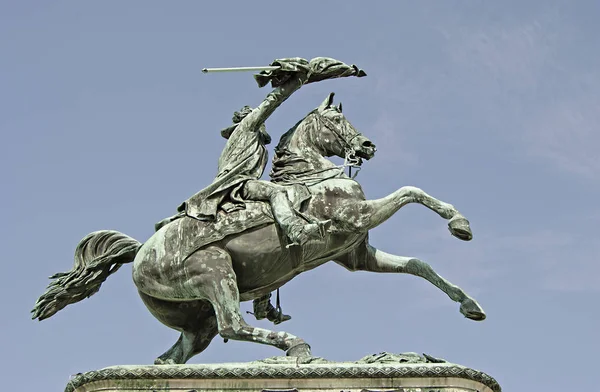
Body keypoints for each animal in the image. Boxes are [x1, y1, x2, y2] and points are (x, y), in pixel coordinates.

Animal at [30, 93, 486, 366]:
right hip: (215, 272)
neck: (311, 175)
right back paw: (296, 346)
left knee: (177, 355)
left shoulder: (355, 254)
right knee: (233, 325)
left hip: (197, 319)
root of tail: (141, 252)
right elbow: (412, 191)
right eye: (336, 119)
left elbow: (419, 265)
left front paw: (469, 304)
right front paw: (458, 222)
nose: (367, 146)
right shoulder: (355, 218)